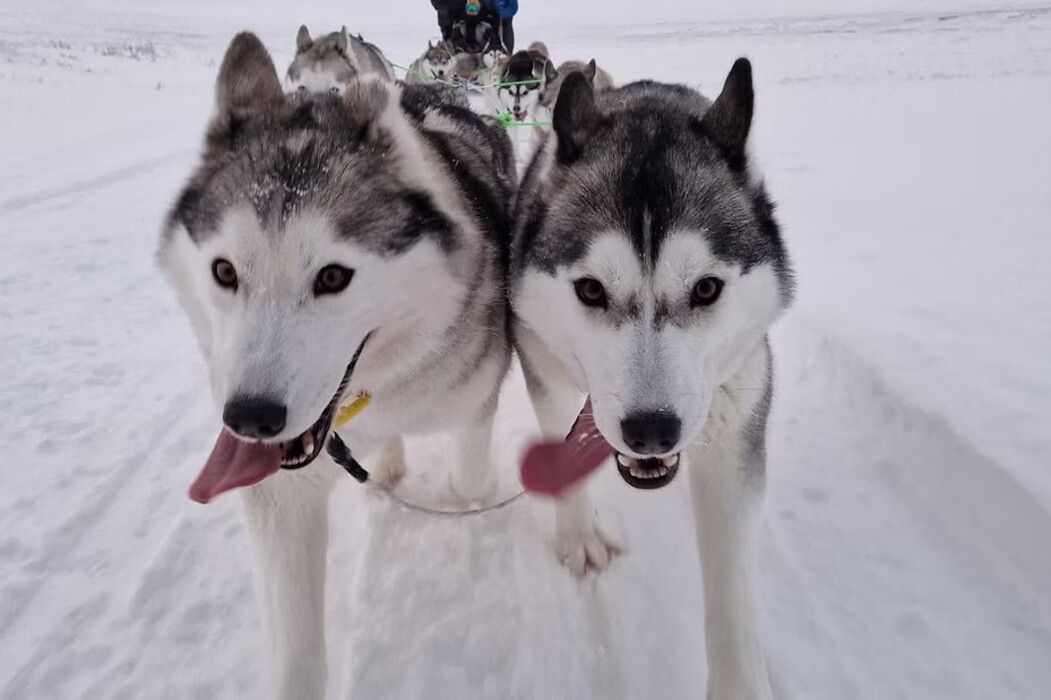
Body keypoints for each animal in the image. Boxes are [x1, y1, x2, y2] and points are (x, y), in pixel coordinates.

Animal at [157, 31, 514, 693]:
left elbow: (471, 481)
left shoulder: (477, 404)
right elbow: (297, 657)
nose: (249, 419)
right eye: (224, 271)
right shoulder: (281, 499)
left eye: (332, 277)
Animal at [512, 61, 790, 697]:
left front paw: (739, 681)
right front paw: (579, 535)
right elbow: (560, 456)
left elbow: (730, 582)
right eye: (591, 289)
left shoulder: (734, 428)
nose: (651, 431)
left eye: (707, 288)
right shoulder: (544, 365)